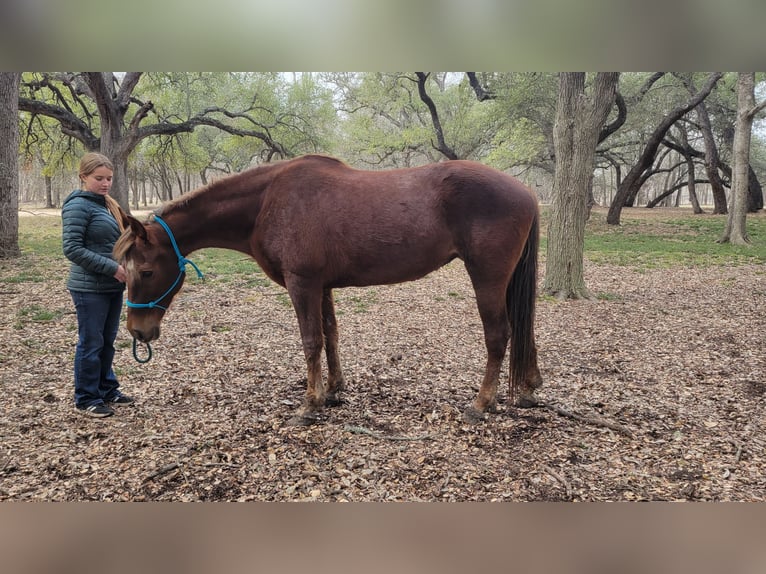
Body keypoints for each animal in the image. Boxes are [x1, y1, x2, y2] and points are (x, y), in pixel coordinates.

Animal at [114, 154, 543, 425]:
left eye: (146, 271)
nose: (138, 331)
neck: (268, 201)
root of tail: (527, 192)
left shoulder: (301, 283)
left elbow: (311, 340)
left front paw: (310, 404)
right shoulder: (321, 286)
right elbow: (331, 335)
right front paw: (334, 390)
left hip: (487, 277)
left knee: (499, 335)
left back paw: (481, 403)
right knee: (524, 330)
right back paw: (529, 388)